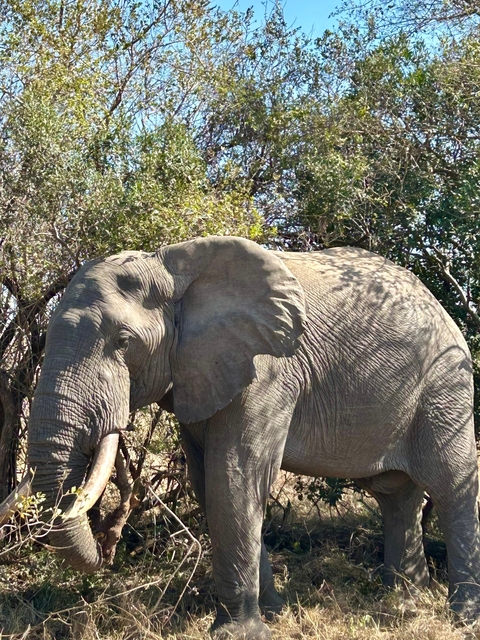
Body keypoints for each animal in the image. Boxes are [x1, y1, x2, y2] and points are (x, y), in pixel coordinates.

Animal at [4, 235, 480, 639]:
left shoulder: (267, 369)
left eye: (123, 341)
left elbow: (233, 475)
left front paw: (239, 633)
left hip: (446, 384)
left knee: (451, 484)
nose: (107, 553)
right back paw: (405, 601)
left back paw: (461, 616)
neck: (173, 269)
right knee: (396, 495)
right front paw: (273, 615)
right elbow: (207, 483)